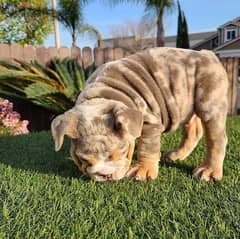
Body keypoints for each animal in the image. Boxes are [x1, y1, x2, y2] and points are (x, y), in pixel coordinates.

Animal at [51, 47, 228, 182]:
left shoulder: (150, 120)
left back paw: (208, 171)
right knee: (192, 127)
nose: (105, 175)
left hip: (209, 96)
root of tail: (209, 54)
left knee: (215, 135)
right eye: (84, 160)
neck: (102, 96)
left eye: (122, 151)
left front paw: (142, 171)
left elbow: (147, 147)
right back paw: (176, 155)